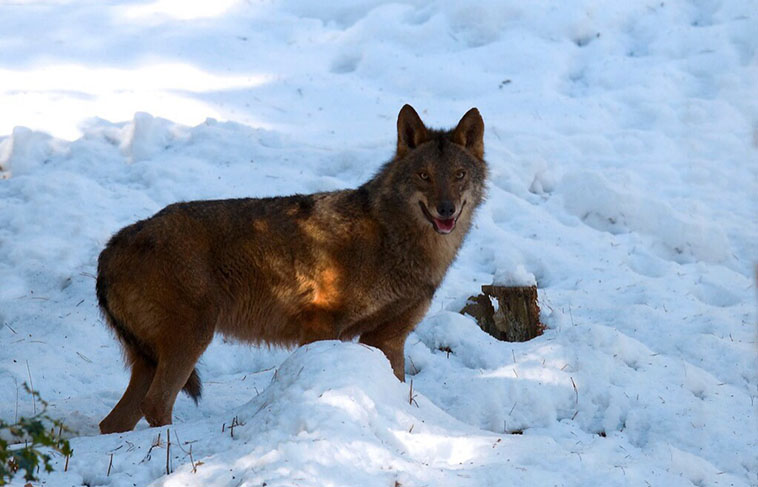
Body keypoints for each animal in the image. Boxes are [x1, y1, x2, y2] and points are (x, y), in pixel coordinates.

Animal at [96, 105, 487, 433]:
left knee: (114, 421)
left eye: (459, 174)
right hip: (192, 338)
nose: (446, 210)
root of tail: (111, 247)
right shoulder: (321, 325)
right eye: (423, 175)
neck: (392, 239)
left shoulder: (388, 338)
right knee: (155, 405)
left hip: (156, 357)